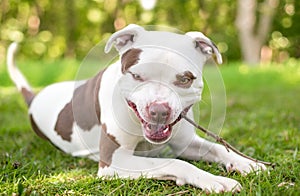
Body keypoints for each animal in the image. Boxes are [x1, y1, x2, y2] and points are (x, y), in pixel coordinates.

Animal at [7, 24, 266, 193]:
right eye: (136, 75)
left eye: (185, 79)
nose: (159, 110)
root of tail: (35, 97)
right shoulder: (114, 161)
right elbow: (176, 162)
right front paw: (214, 180)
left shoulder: (185, 142)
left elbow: (218, 148)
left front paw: (247, 163)